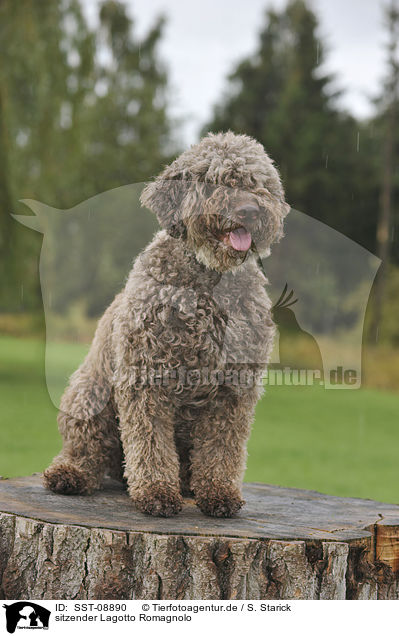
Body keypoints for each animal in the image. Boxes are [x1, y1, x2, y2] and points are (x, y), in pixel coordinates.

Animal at [43, 132, 290, 520]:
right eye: (214, 182)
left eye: (258, 184)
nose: (248, 211)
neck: (208, 282)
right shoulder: (145, 378)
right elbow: (151, 444)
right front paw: (156, 492)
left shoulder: (233, 390)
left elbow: (222, 448)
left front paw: (218, 491)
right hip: (89, 395)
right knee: (89, 450)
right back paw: (71, 473)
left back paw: (188, 484)